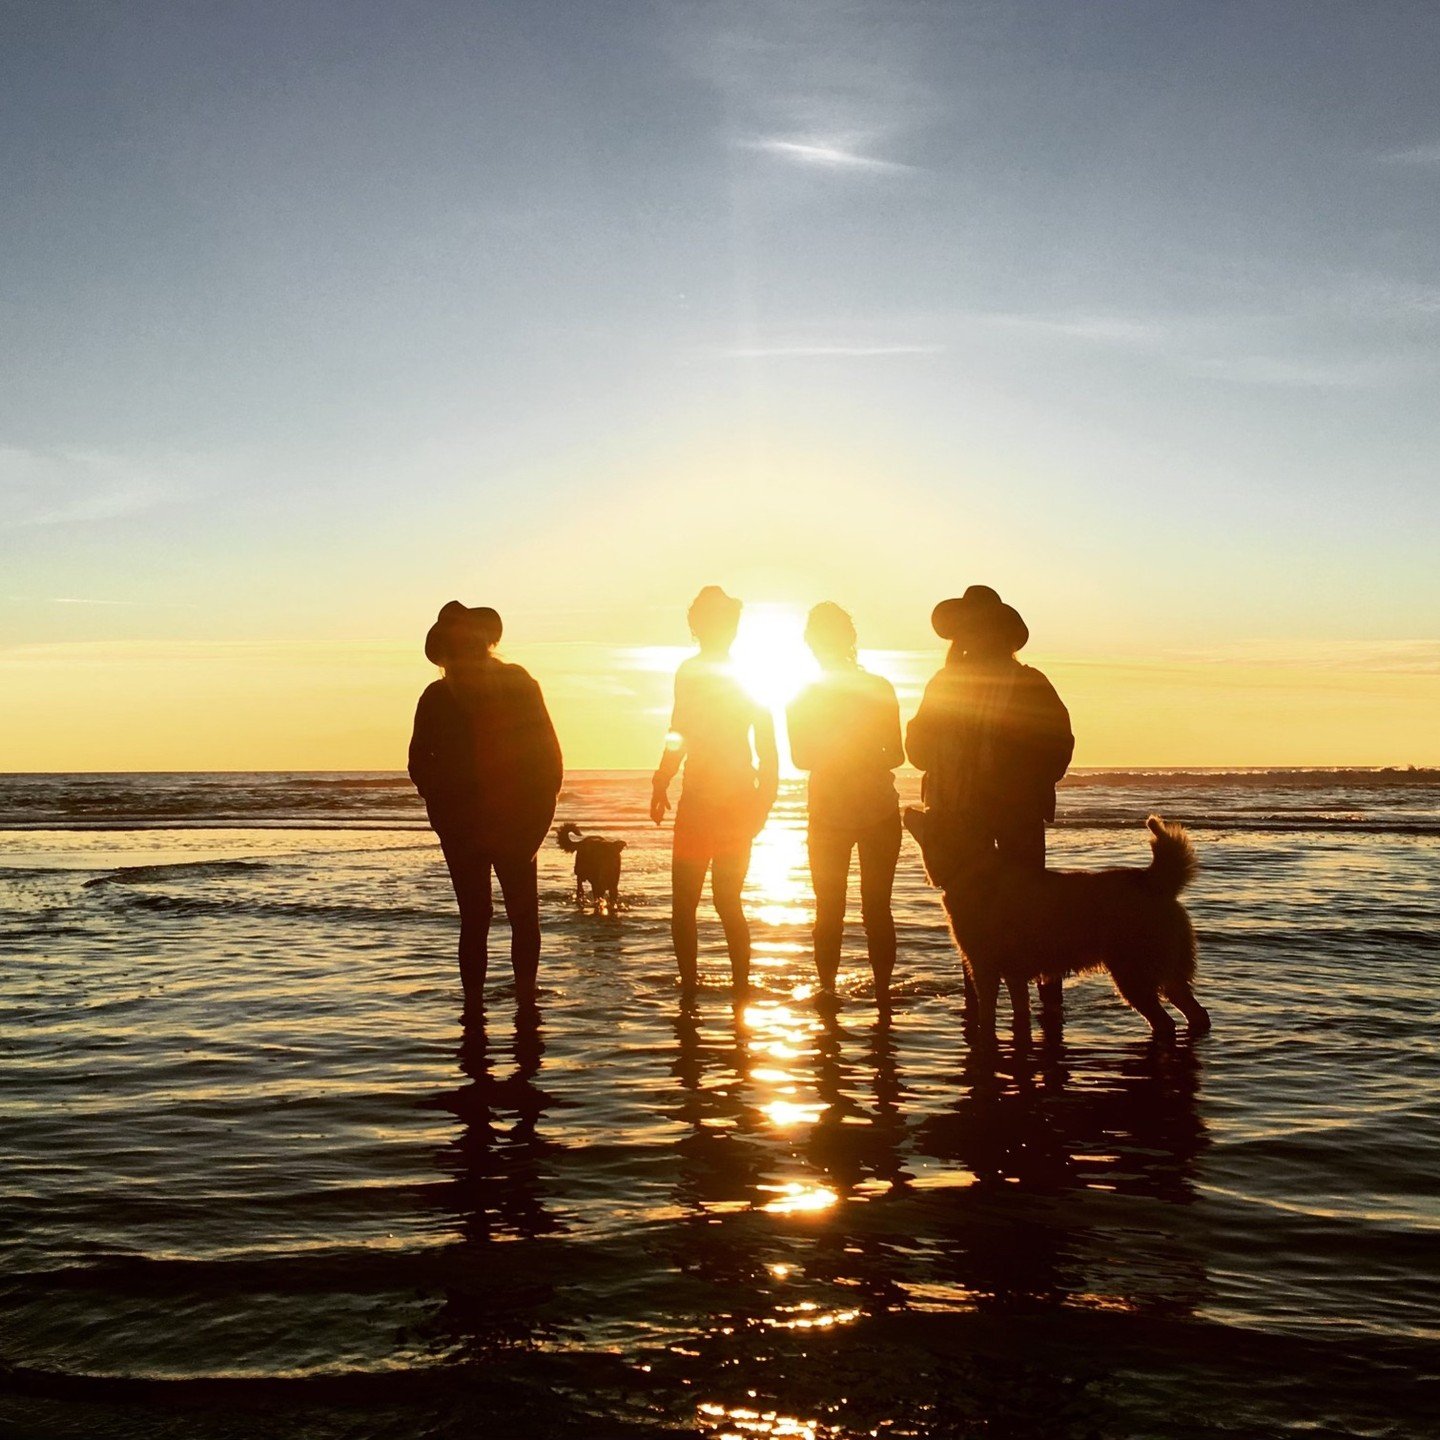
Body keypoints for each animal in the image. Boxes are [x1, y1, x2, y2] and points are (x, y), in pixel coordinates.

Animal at [915, 823, 1209, 1048]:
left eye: (931, 813)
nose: (908, 809)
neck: (969, 866)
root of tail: (1156, 883)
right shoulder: (1013, 974)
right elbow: (1020, 1011)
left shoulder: (985, 968)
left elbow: (987, 1015)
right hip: (1169, 975)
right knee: (1197, 1013)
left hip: (1134, 976)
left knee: (1165, 1022)